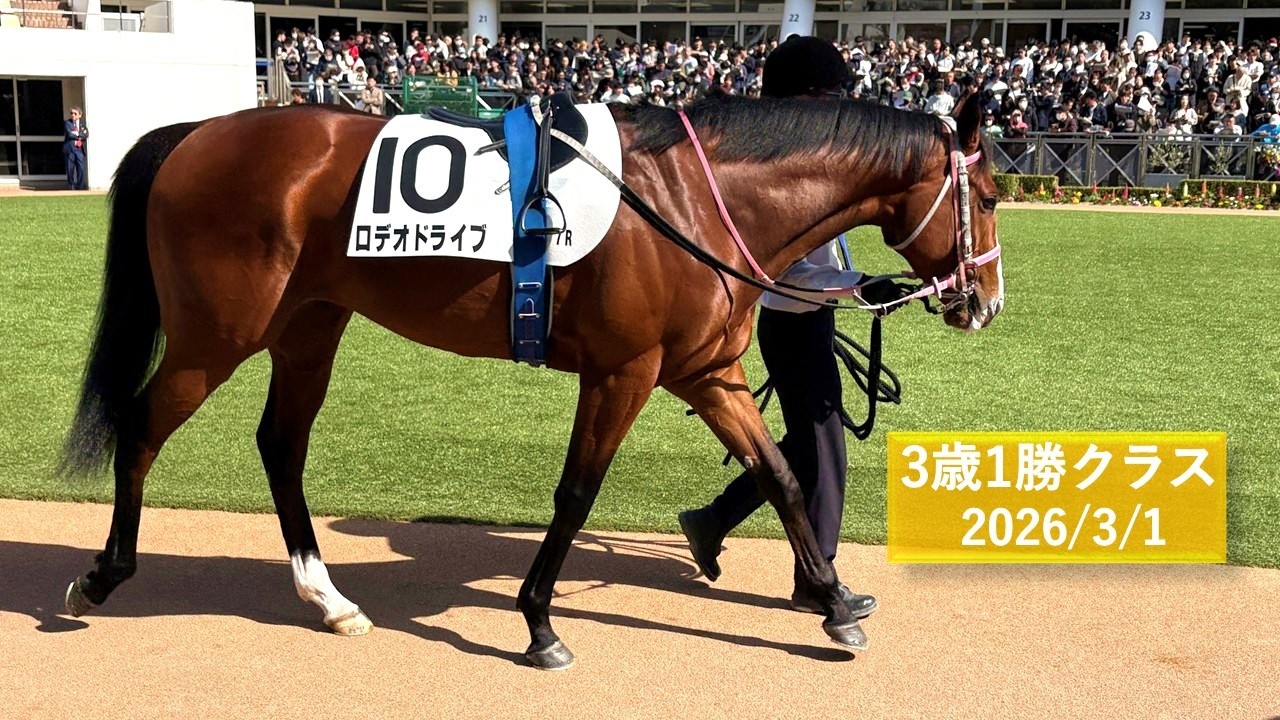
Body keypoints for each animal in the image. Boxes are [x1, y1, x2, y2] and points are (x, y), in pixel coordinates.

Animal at [58, 90, 1003, 670]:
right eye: (991, 196)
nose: (985, 303)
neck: (693, 198)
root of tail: (194, 133)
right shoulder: (625, 371)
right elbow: (577, 494)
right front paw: (541, 622)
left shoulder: (708, 371)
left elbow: (780, 475)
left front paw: (836, 603)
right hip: (216, 334)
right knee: (141, 427)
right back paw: (102, 576)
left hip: (308, 328)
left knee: (281, 447)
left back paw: (327, 597)